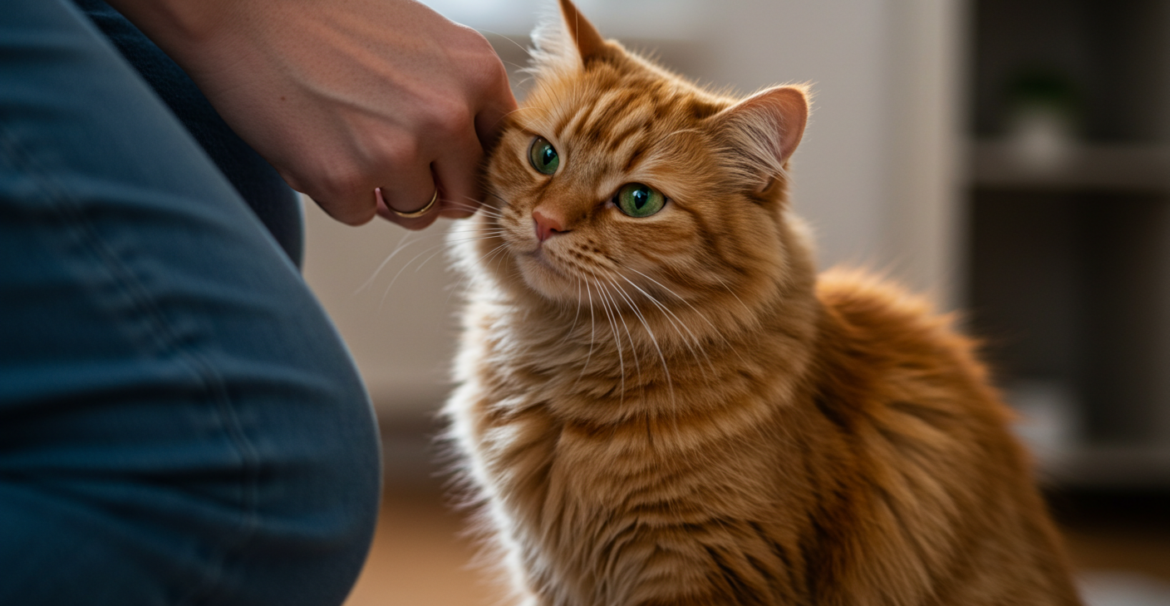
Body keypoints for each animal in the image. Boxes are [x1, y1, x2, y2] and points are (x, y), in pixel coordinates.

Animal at [442, 2, 1081, 603]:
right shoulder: (545, 570)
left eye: (639, 200)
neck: (561, 362)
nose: (547, 223)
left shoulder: (708, 565)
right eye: (545, 157)